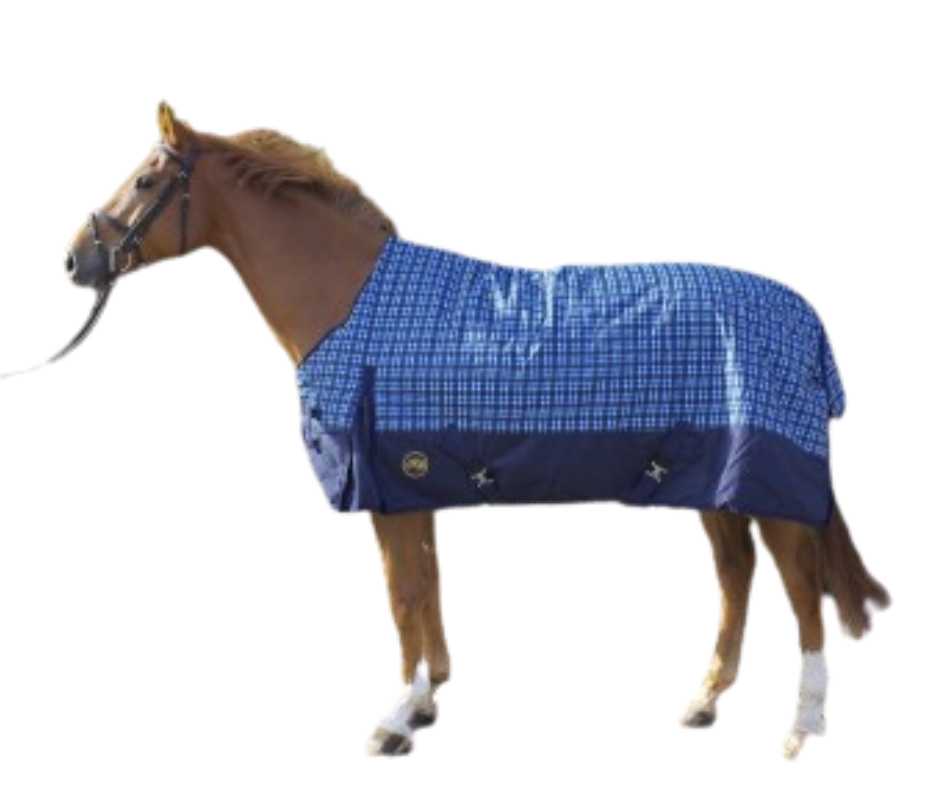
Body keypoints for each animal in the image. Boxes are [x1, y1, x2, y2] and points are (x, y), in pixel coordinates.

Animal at [58, 102, 888, 759]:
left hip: (771, 484)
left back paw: (800, 729)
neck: (350, 302)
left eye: (144, 181)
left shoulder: (389, 485)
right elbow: (425, 590)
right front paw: (427, 701)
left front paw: (395, 720)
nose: (75, 259)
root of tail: (806, 319)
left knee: (801, 590)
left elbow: (402, 597)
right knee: (736, 576)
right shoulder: (412, 483)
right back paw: (705, 701)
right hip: (714, 481)